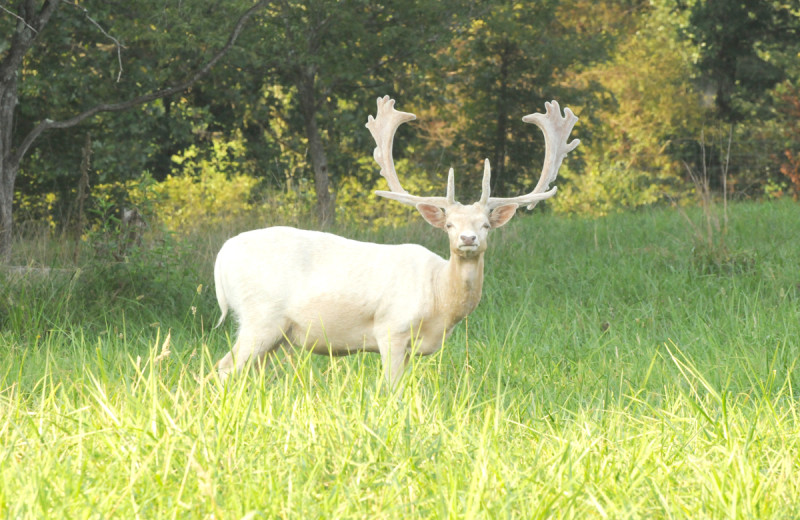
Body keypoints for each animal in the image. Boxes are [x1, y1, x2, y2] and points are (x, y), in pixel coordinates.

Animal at [211, 95, 576, 386]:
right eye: (449, 224)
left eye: (486, 224)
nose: (468, 238)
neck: (440, 300)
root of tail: (221, 259)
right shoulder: (391, 329)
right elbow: (391, 388)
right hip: (260, 315)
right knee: (224, 367)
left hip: (277, 333)